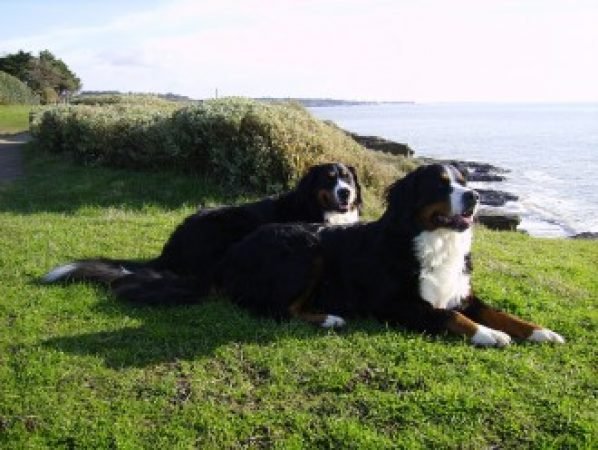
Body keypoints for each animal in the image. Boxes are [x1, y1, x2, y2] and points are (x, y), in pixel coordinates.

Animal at [42, 162, 364, 302]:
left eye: (347, 178)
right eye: (329, 179)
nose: (346, 193)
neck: (321, 208)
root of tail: (171, 247)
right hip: (231, 221)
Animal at [216, 163, 568, 346]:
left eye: (463, 181)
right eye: (441, 185)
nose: (475, 196)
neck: (436, 242)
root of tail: (235, 250)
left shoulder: (461, 293)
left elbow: (500, 313)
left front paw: (540, 331)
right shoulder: (395, 303)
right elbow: (449, 316)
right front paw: (489, 334)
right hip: (308, 250)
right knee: (278, 309)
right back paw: (330, 318)